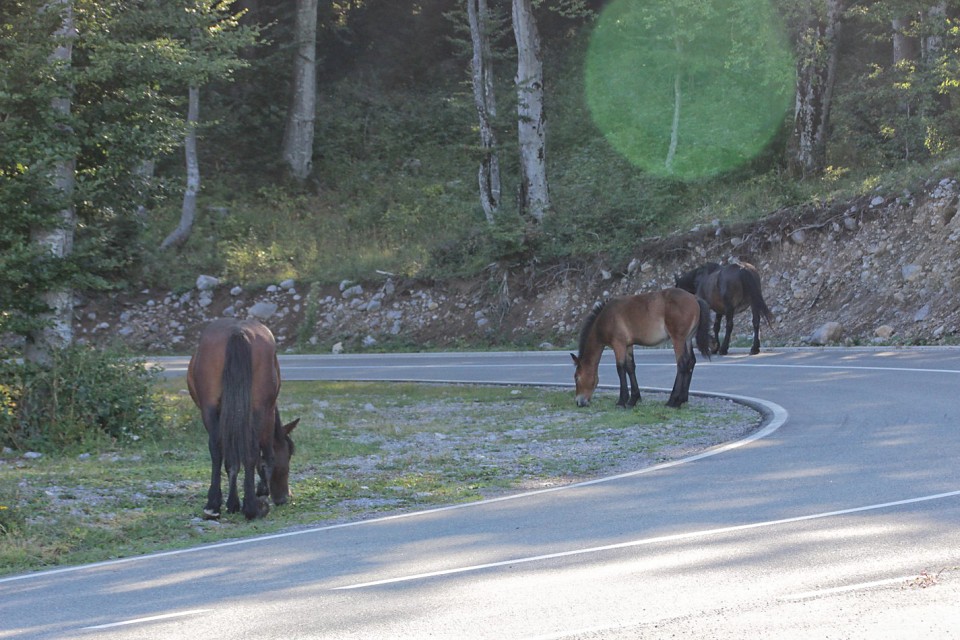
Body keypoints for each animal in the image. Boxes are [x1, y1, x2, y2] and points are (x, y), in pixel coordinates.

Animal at [185, 318, 296, 524]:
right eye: (289, 453)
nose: (284, 497)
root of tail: (238, 333)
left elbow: (231, 460)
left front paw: (232, 503)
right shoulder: (268, 412)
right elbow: (266, 455)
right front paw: (261, 492)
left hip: (210, 408)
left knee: (216, 449)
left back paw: (213, 505)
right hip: (259, 407)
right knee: (251, 449)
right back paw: (252, 507)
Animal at [568, 288, 712, 408]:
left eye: (576, 377)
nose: (579, 402)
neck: (605, 318)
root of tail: (694, 298)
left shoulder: (618, 344)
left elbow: (620, 368)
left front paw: (622, 401)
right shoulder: (628, 345)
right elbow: (630, 368)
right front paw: (633, 399)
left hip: (678, 339)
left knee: (682, 364)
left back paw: (673, 401)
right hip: (687, 339)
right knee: (691, 362)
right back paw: (682, 399)